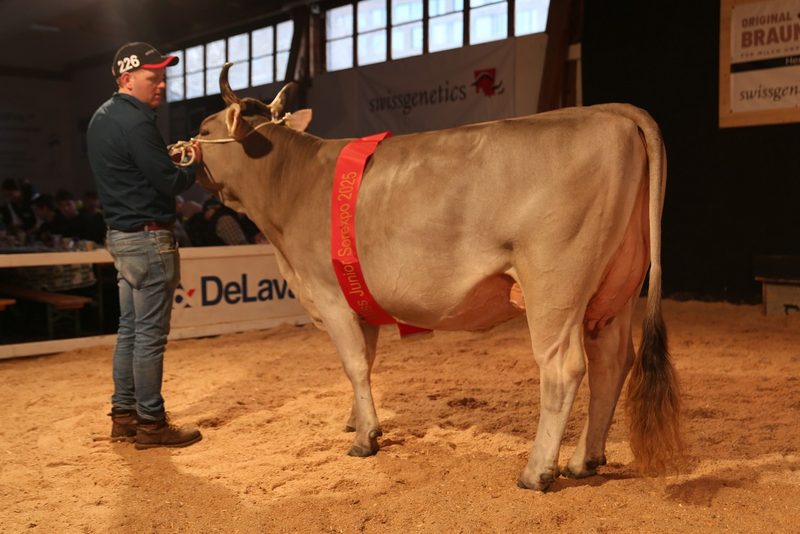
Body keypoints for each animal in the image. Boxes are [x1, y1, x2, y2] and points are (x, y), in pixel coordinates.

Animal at [184, 63, 682, 491]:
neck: (290, 184)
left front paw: (364, 439)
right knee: (612, 362)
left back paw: (537, 470)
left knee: (564, 368)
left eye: (206, 130)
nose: (177, 151)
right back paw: (585, 459)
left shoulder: (329, 294)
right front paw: (355, 419)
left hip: (555, 282)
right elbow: (365, 364)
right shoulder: (356, 300)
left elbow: (353, 364)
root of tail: (605, 111)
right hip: (615, 288)